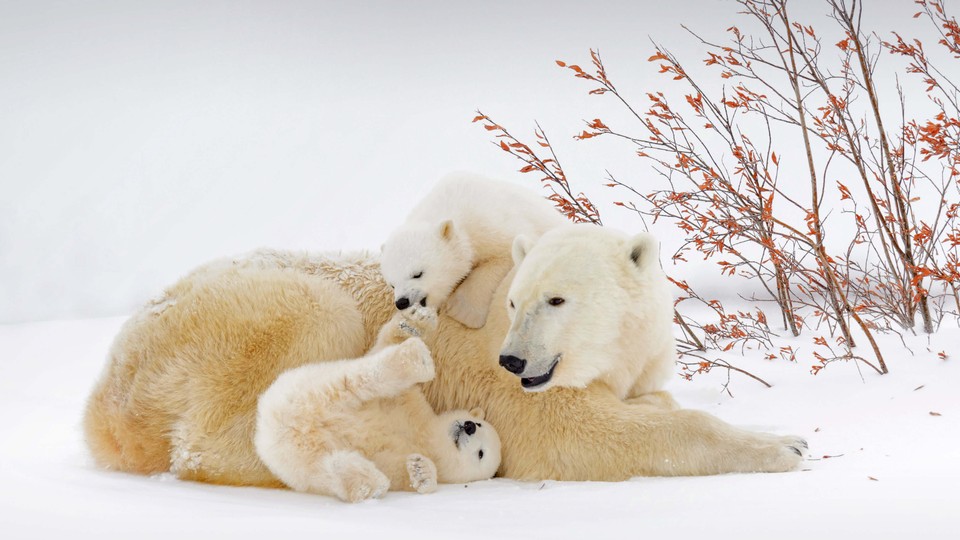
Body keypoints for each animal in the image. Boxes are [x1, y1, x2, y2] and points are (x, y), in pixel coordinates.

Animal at [253, 330, 502, 502]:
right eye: (479, 423)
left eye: (481, 453)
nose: (469, 426)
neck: (426, 436)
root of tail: (272, 425)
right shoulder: (412, 408)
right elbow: (399, 385)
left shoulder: (400, 459)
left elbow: (405, 472)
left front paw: (420, 470)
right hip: (313, 388)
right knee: (361, 380)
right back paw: (415, 360)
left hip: (298, 459)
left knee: (326, 467)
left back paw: (367, 484)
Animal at [378, 173, 568, 326]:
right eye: (392, 284)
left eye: (418, 274)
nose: (402, 302)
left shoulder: (490, 225)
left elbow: (504, 254)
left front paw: (461, 311)